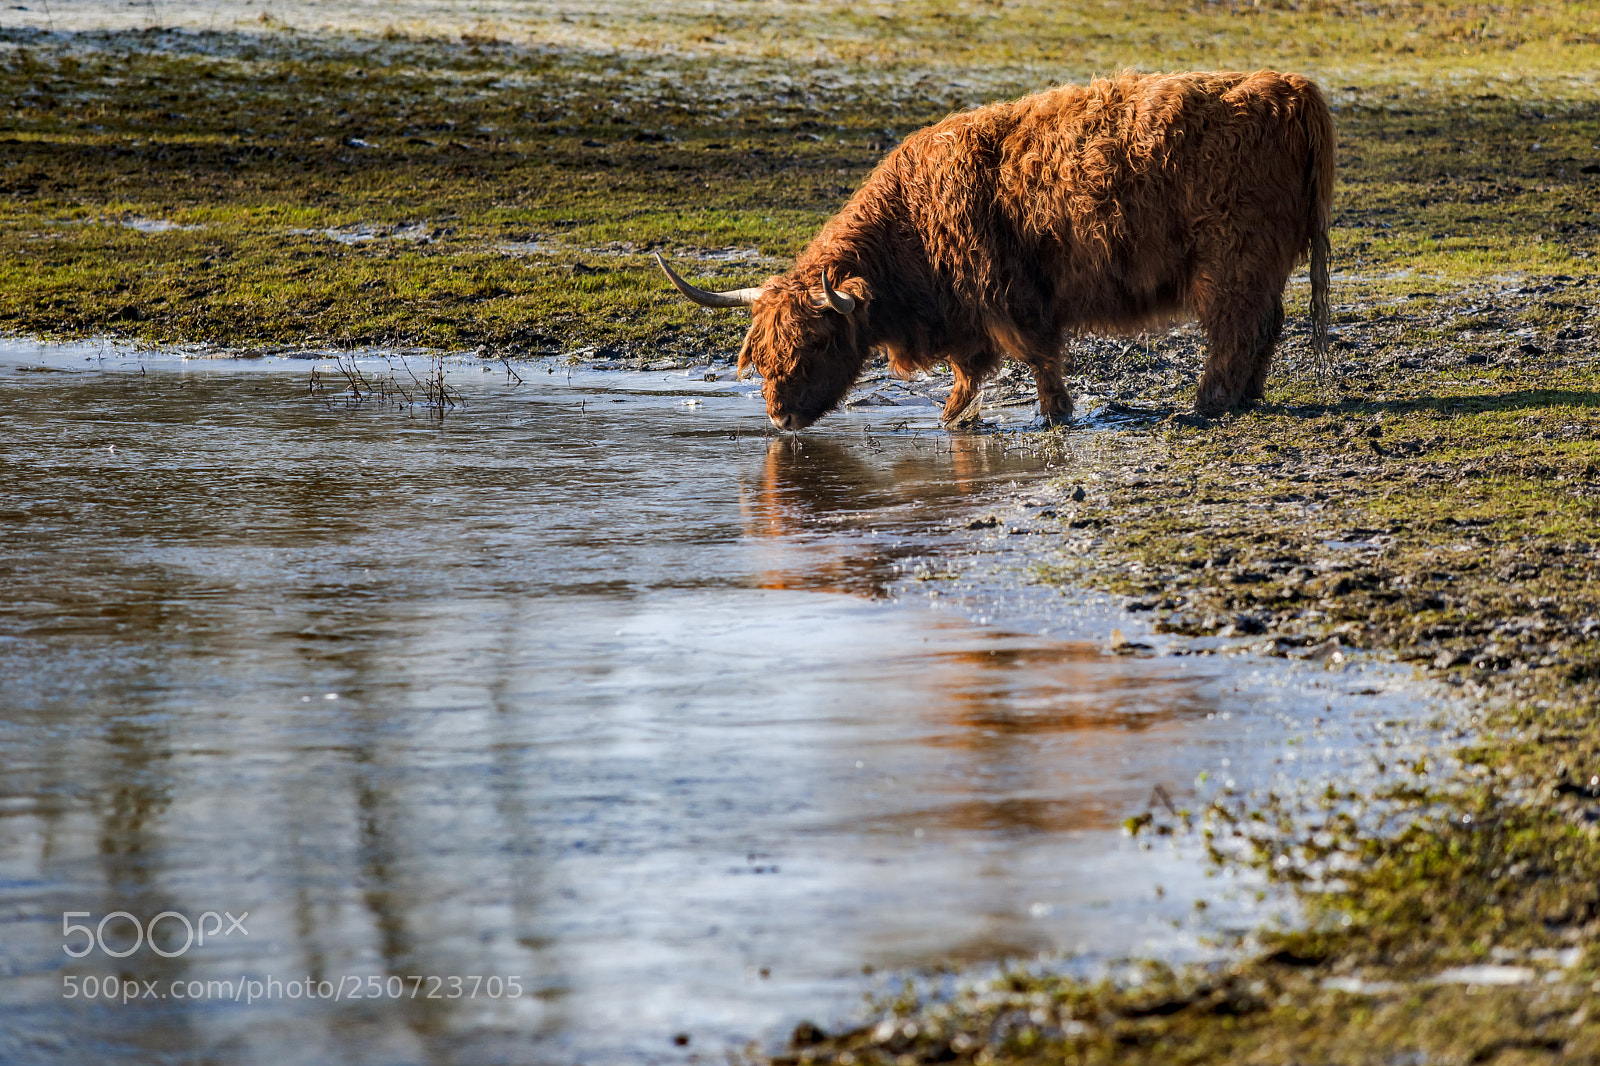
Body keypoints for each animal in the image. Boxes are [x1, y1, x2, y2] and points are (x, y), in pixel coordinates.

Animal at [655, 69, 1335, 431]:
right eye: (762, 352)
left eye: (817, 344)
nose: (779, 417)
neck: (910, 226)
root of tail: (1289, 88)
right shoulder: (968, 314)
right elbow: (970, 372)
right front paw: (952, 419)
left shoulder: (1008, 294)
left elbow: (1036, 359)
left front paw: (1055, 416)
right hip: (1261, 263)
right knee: (1266, 325)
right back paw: (1246, 398)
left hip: (1231, 258)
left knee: (1234, 330)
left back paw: (1203, 406)